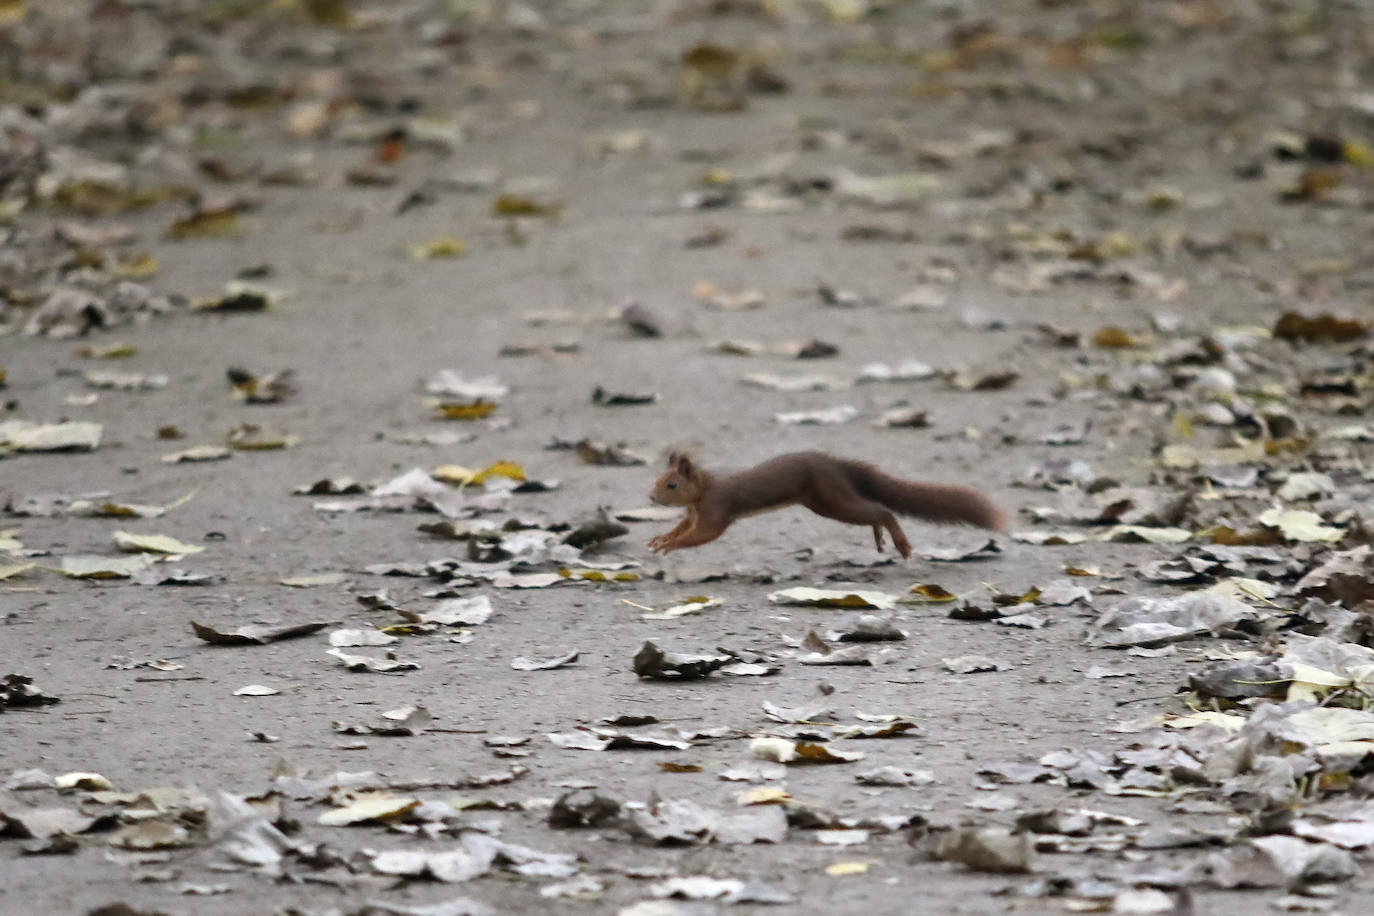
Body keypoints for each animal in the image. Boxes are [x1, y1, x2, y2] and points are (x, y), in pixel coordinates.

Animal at [648, 450, 1005, 560]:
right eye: (658, 478)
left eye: (671, 484)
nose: (651, 498)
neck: (704, 490)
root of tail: (839, 465)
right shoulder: (693, 512)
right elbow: (684, 526)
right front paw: (661, 539)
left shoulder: (715, 509)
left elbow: (704, 534)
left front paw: (670, 545)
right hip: (826, 501)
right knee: (874, 514)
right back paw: (879, 538)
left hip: (830, 498)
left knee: (882, 511)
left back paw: (900, 544)